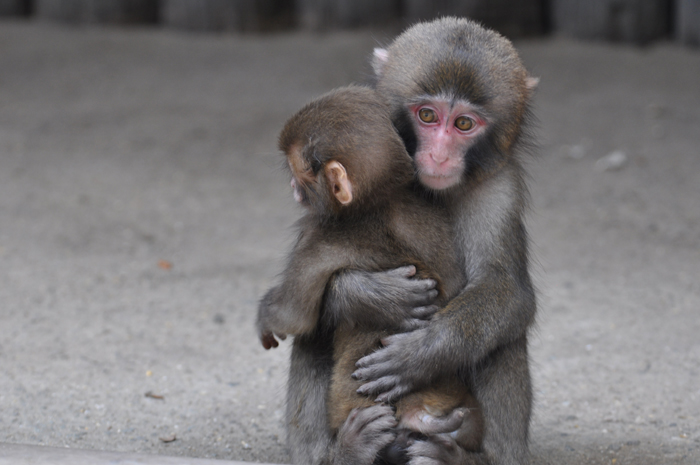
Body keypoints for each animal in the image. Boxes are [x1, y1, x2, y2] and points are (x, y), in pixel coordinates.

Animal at [254, 85, 484, 462]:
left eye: (297, 171)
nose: (293, 187)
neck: (383, 201)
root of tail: (423, 410)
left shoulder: (315, 233)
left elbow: (293, 316)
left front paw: (265, 317)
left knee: (310, 338)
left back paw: (346, 451)